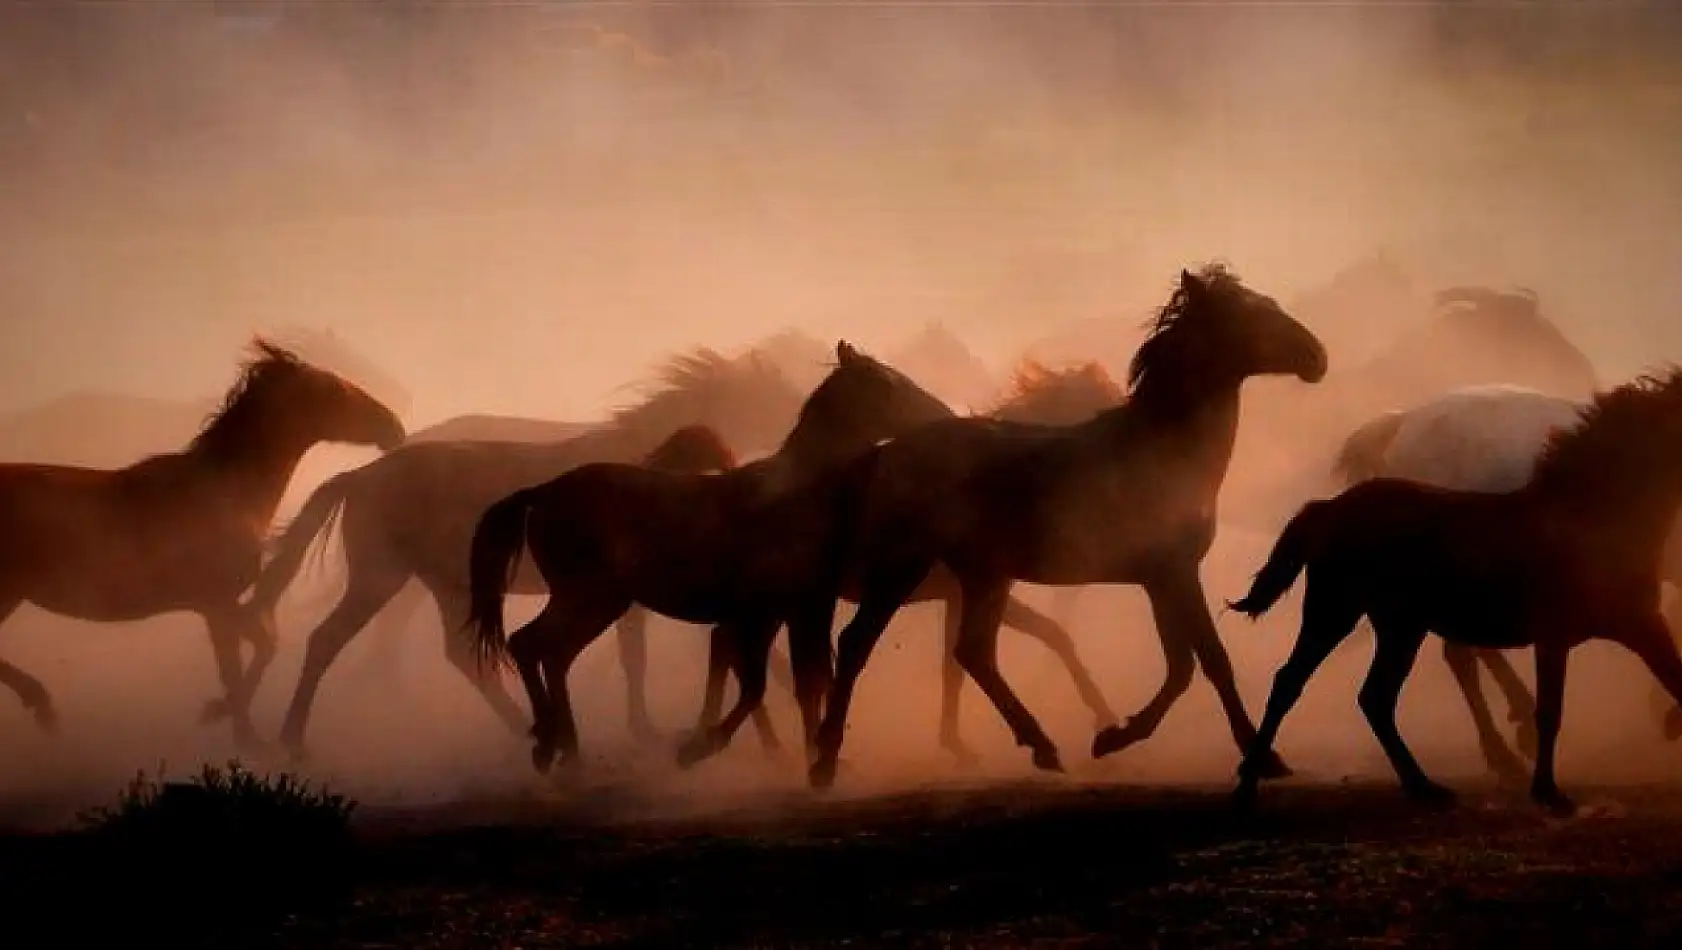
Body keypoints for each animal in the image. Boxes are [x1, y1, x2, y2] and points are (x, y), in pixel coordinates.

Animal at [0, 341, 403, 749]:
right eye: (335, 390)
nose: (394, 426)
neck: (228, 492)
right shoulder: (216, 603)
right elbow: (237, 665)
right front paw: (245, 735)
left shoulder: (221, 605)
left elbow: (262, 646)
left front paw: (222, 714)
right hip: (7, 593)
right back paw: (42, 705)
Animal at [800, 262, 1325, 790]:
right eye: (1249, 314)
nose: (1316, 357)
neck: (1164, 449)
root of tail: (887, 451)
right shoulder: (1173, 573)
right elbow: (1210, 661)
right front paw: (1258, 756)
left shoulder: (1161, 579)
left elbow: (1183, 666)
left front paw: (1113, 735)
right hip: (904, 566)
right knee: (858, 644)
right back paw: (825, 762)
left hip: (983, 575)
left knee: (973, 653)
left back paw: (1041, 745)